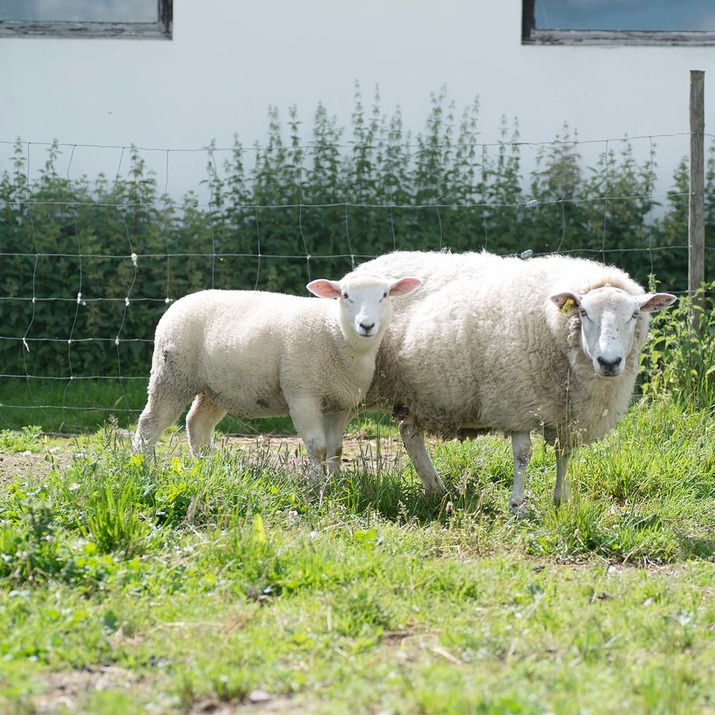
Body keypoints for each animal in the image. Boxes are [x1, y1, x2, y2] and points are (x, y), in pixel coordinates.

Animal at [132, 272, 422, 478]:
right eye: (345, 295)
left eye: (385, 294)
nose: (366, 325)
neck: (335, 334)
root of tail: (181, 301)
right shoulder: (302, 393)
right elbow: (317, 446)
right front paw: (318, 486)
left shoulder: (341, 403)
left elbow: (335, 450)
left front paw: (336, 481)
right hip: (172, 374)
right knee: (150, 423)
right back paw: (143, 464)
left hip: (215, 388)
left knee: (197, 423)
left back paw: (206, 465)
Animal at [356, 249, 676, 512]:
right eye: (584, 312)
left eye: (634, 314)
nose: (609, 362)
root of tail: (368, 265)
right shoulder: (517, 403)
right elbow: (523, 455)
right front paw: (517, 505)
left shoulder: (566, 412)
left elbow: (564, 453)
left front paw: (561, 500)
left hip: (423, 396)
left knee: (408, 433)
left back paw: (437, 489)